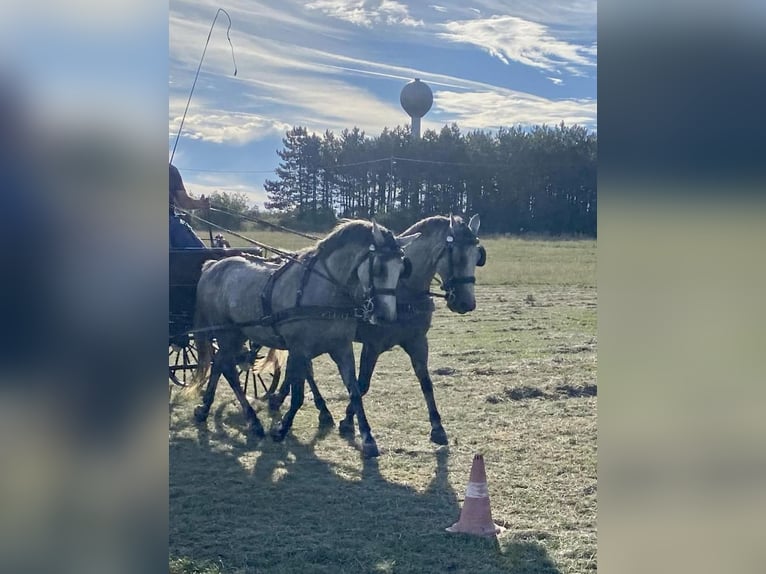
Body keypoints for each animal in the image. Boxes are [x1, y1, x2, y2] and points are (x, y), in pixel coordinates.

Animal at [189, 219, 418, 458]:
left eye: (402, 268)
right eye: (379, 267)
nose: (386, 316)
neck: (325, 291)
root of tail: (212, 266)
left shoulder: (341, 347)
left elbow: (354, 390)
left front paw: (367, 438)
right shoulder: (299, 348)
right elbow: (298, 394)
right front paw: (282, 428)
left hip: (236, 335)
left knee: (219, 365)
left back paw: (205, 409)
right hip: (227, 334)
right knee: (228, 370)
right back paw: (252, 421)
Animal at [266, 214, 486, 445]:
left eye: (477, 256)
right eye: (457, 256)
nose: (466, 303)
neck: (403, 291)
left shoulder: (417, 341)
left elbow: (426, 382)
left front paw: (437, 427)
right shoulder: (372, 344)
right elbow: (362, 384)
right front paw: (348, 422)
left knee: (302, 367)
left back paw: (285, 400)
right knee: (305, 367)